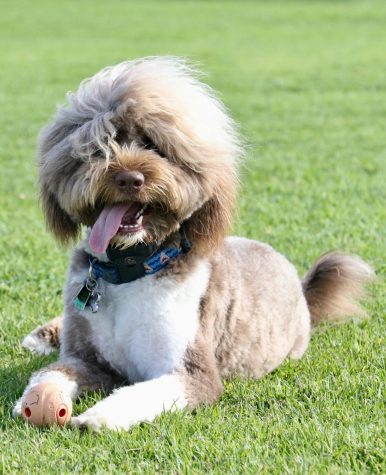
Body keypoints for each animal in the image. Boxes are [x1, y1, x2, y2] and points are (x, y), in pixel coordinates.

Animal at [12, 55, 374, 432]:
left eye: (154, 146)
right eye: (102, 146)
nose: (129, 178)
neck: (131, 271)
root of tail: (302, 288)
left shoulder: (192, 372)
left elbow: (141, 393)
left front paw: (99, 415)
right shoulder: (87, 358)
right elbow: (48, 373)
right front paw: (33, 400)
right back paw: (42, 336)